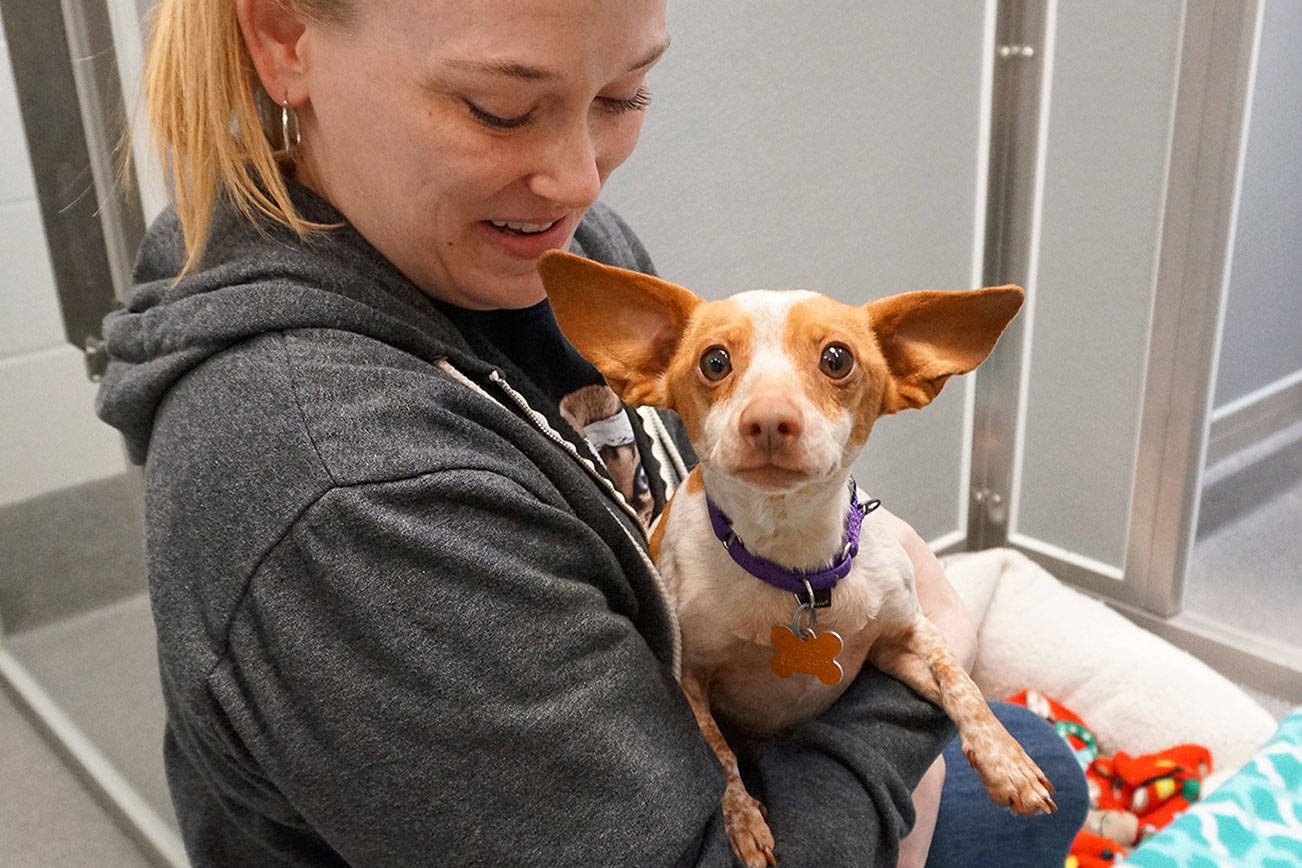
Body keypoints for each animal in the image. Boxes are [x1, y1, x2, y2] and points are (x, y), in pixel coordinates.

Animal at [539, 247, 1057, 864]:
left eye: (836, 358)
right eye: (714, 361)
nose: (767, 419)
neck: (794, 565)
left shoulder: (904, 637)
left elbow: (963, 685)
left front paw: (1008, 763)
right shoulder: (691, 682)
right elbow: (719, 756)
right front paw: (743, 822)